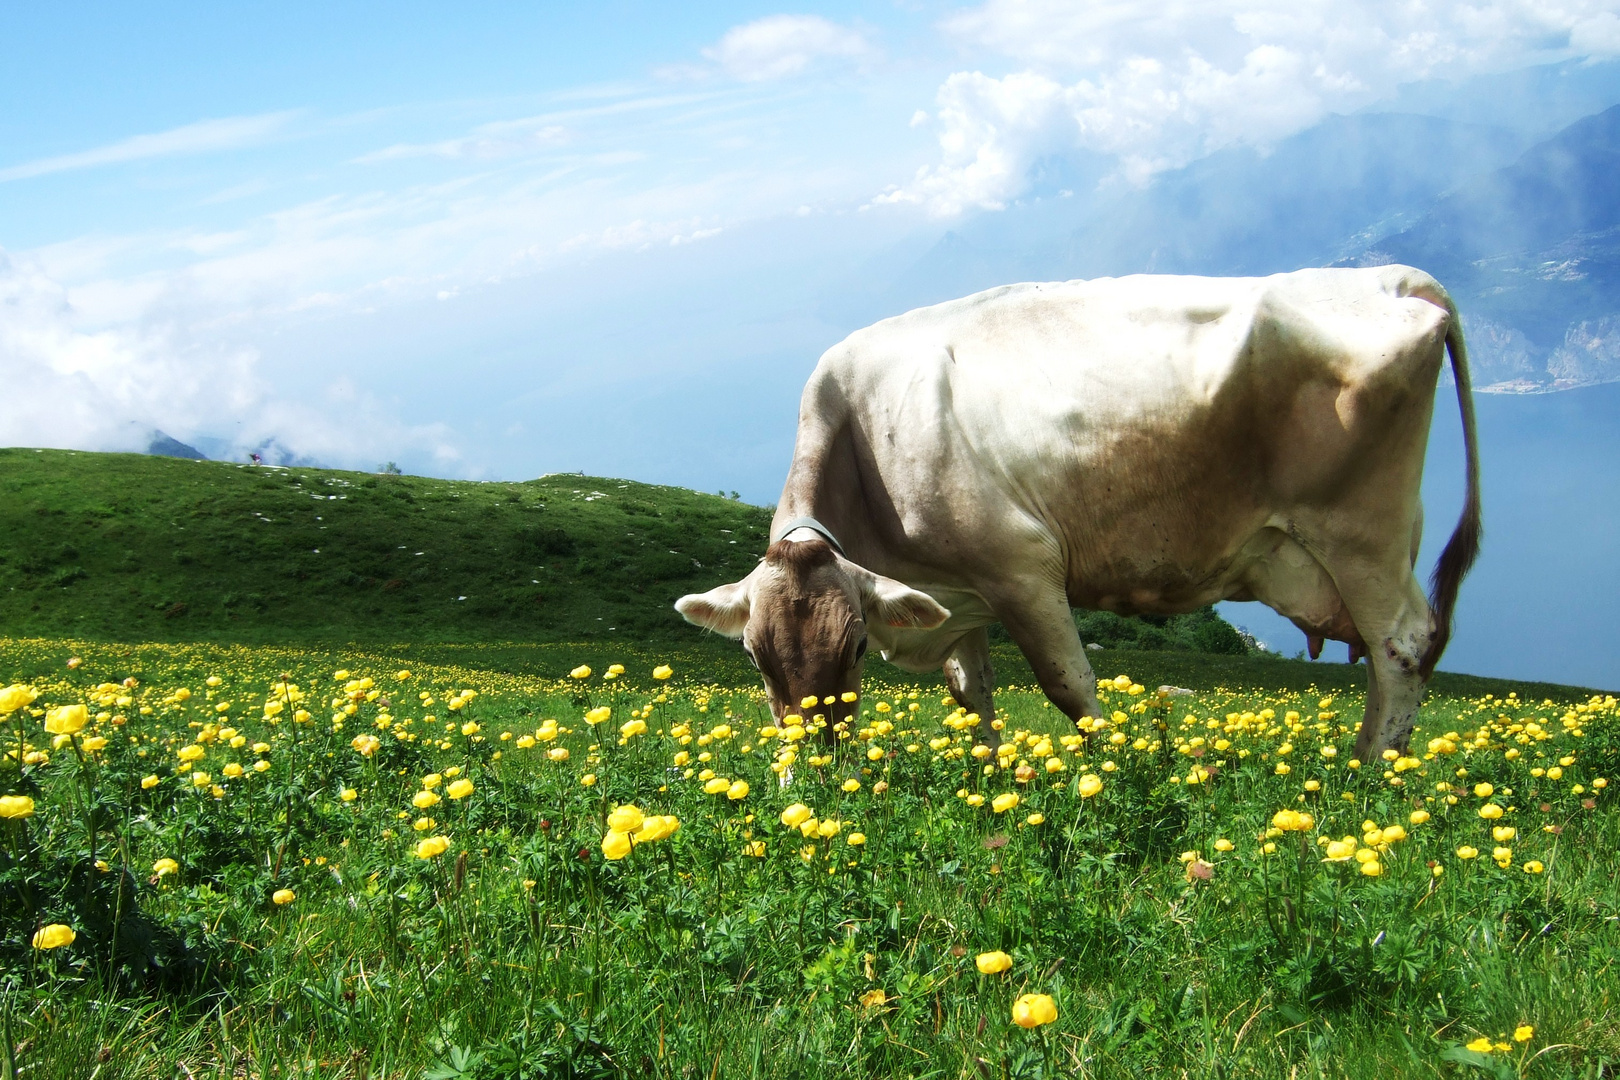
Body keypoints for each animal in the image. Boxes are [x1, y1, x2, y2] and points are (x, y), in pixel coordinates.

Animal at [673, 265, 1483, 764]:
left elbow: (1072, 690)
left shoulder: (1019, 567)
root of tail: (1386, 277)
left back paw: (1369, 776)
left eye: (856, 648)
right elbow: (972, 699)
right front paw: (986, 784)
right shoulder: (958, 592)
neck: (862, 435)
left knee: (1404, 645)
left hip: (1359, 536)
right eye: (755, 656)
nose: (808, 780)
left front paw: (1109, 779)